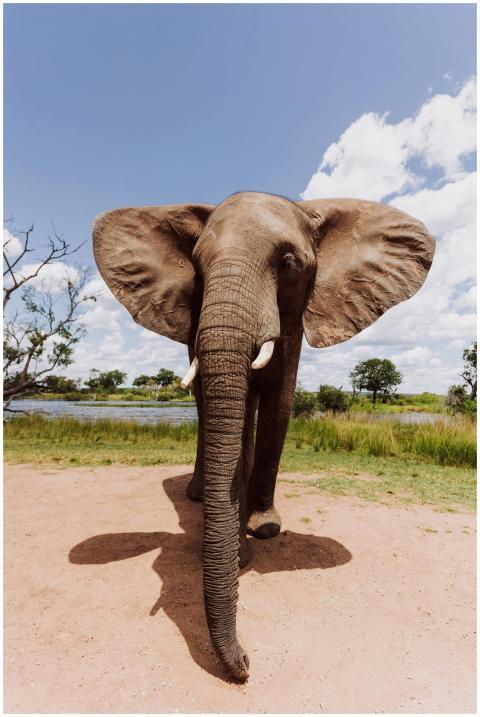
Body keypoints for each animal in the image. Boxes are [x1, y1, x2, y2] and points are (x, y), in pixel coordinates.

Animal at [93, 191, 434, 682]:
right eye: (197, 266)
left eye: (289, 263)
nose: (246, 665)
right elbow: (232, 418)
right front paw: (239, 550)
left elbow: (279, 404)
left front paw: (265, 529)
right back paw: (197, 495)